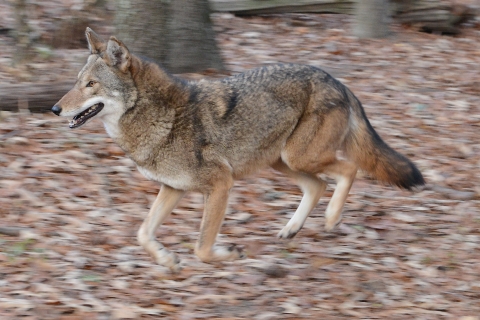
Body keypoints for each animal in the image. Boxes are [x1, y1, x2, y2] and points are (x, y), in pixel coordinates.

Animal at [51, 28, 424, 272]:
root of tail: (338, 81)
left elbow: (202, 247)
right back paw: (292, 229)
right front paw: (167, 259)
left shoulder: (220, 184)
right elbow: (143, 232)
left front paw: (229, 255)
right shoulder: (172, 189)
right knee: (318, 185)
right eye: (77, 82)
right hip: (282, 162)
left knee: (349, 169)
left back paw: (331, 219)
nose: (55, 109)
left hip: (298, 157)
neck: (160, 117)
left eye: (91, 85)